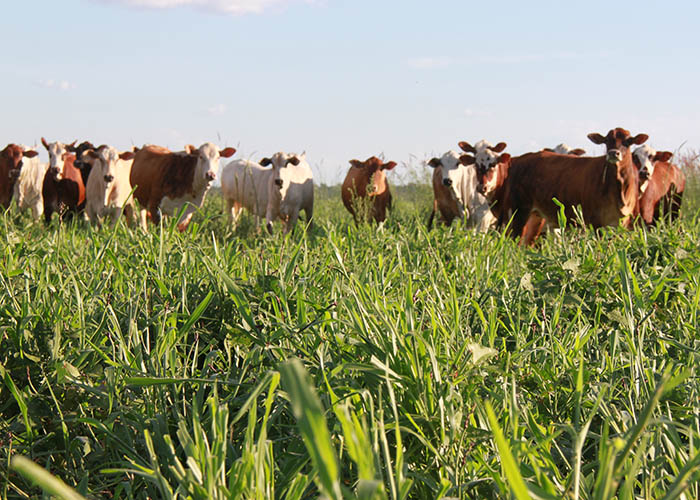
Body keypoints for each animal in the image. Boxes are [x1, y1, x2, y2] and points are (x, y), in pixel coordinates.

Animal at [462, 128, 648, 245]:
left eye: (628, 141)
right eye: (607, 141)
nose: (613, 153)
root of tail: (519, 160)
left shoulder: (622, 223)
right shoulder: (596, 223)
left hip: (533, 217)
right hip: (519, 214)